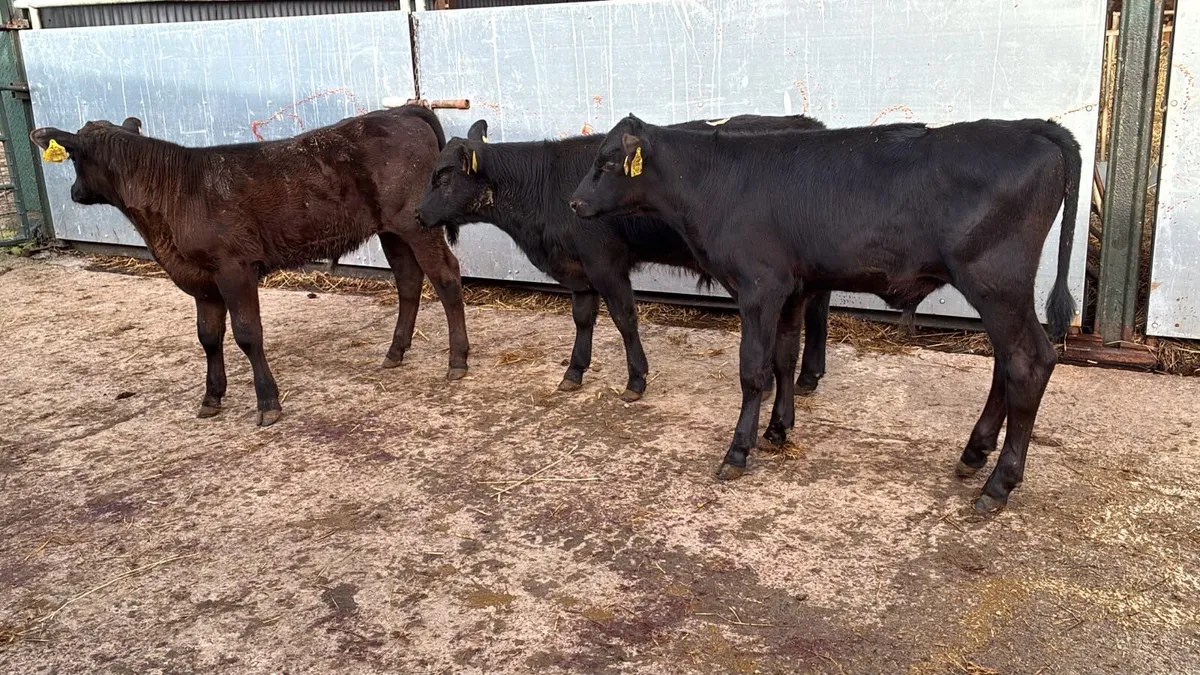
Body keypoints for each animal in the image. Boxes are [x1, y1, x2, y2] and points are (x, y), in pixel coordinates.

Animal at [31, 105, 470, 426]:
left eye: (72, 155)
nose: (74, 192)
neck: (175, 194)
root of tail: (401, 111)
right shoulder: (201, 279)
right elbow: (208, 337)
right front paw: (211, 397)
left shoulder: (234, 268)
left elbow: (247, 334)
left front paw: (267, 402)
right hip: (390, 229)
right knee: (409, 281)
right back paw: (395, 351)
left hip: (416, 224)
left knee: (446, 277)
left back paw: (457, 360)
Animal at [415, 114, 832, 403]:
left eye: (444, 177)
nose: (417, 214)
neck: (545, 187)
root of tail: (808, 123)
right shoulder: (580, 270)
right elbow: (583, 318)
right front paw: (574, 371)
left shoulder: (605, 263)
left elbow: (624, 319)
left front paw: (636, 380)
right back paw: (808, 376)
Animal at [569, 115, 1081, 513]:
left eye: (606, 163)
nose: (574, 203)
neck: (715, 181)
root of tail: (1033, 127)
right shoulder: (793, 289)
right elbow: (784, 358)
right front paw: (778, 429)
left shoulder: (759, 286)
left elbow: (753, 370)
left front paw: (738, 450)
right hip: (999, 291)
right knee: (1006, 363)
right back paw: (974, 453)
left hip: (995, 281)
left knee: (1029, 362)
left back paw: (999, 484)